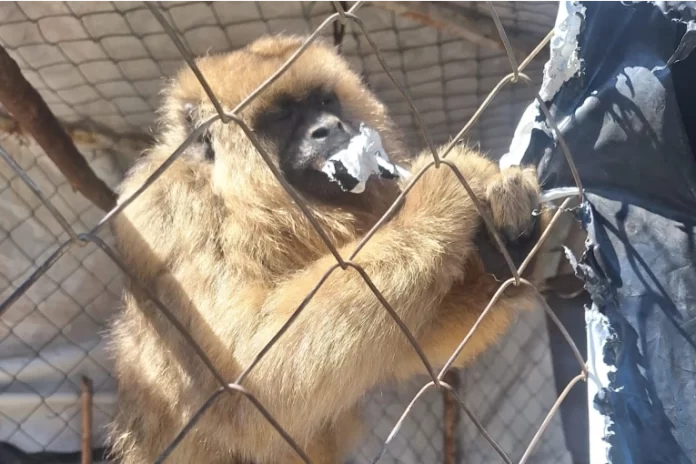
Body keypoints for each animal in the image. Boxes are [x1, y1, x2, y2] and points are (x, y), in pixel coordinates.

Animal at [106, 34, 541, 464]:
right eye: (281, 115)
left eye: (324, 102)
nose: (329, 127)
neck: (242, 203)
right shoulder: (170, 215)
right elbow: (244, 380)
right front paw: (439, 189)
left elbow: (405, 343)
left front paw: (510, 240)